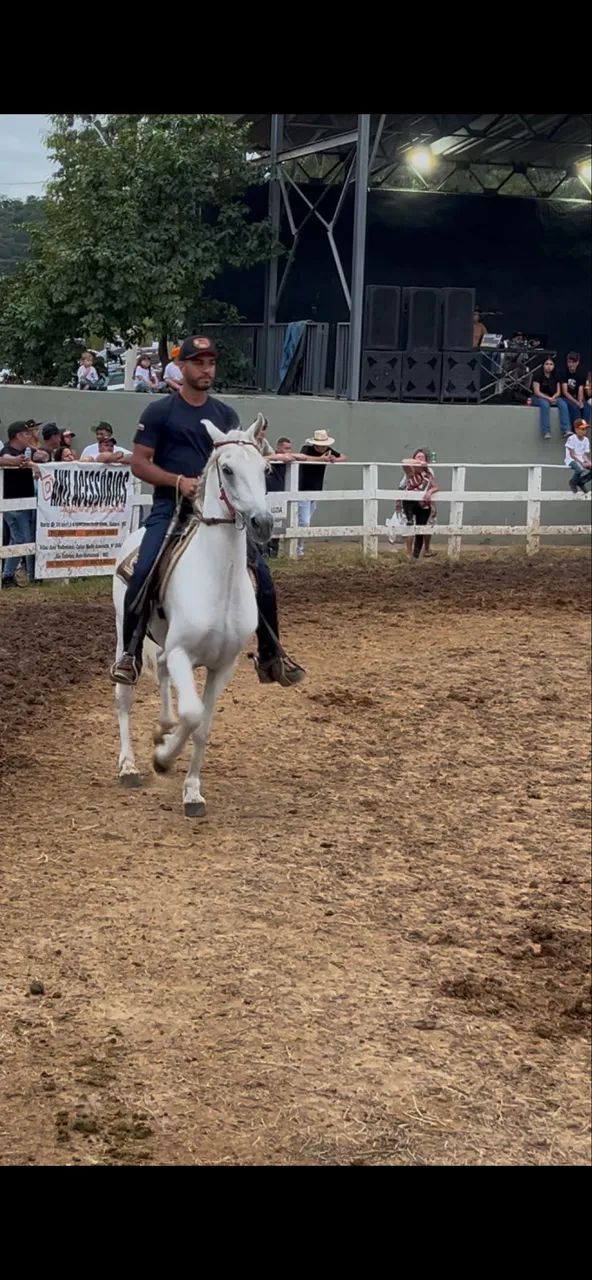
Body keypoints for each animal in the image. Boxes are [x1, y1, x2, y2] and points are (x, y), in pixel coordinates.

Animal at [112, 414, 273, 817]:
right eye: (227, 469)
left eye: (265, 469)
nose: (263, 523)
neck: (219, 580)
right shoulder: (183, 653)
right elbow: (192, 713)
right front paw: (162, 758)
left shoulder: (222, 665)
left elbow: (202, 724)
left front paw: (192, 792)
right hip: (125, 635)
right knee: (125, 696)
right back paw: (129, 766)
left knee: (163, 677)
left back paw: (161, 729)